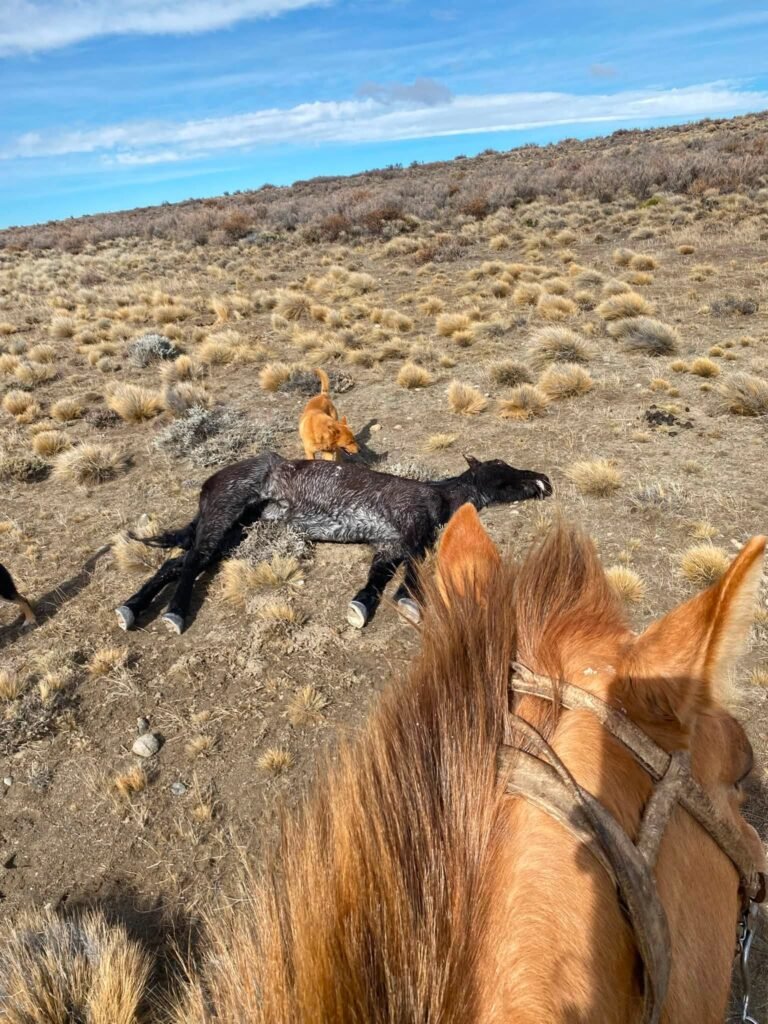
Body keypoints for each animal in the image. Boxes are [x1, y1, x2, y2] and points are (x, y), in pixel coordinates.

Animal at [114, 450, 552, 634]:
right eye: (501, 466)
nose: (543, 479)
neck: (438, 495)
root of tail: (210, 482)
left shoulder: (389, 543)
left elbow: (377, 578)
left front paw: (361, 606)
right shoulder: (408, 530)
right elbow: (414, 566)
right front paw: (408, 601)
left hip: (235, 532)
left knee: (177, 562)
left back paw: (130, 610)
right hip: (224, 515)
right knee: (190, 563)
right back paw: (173, 614)